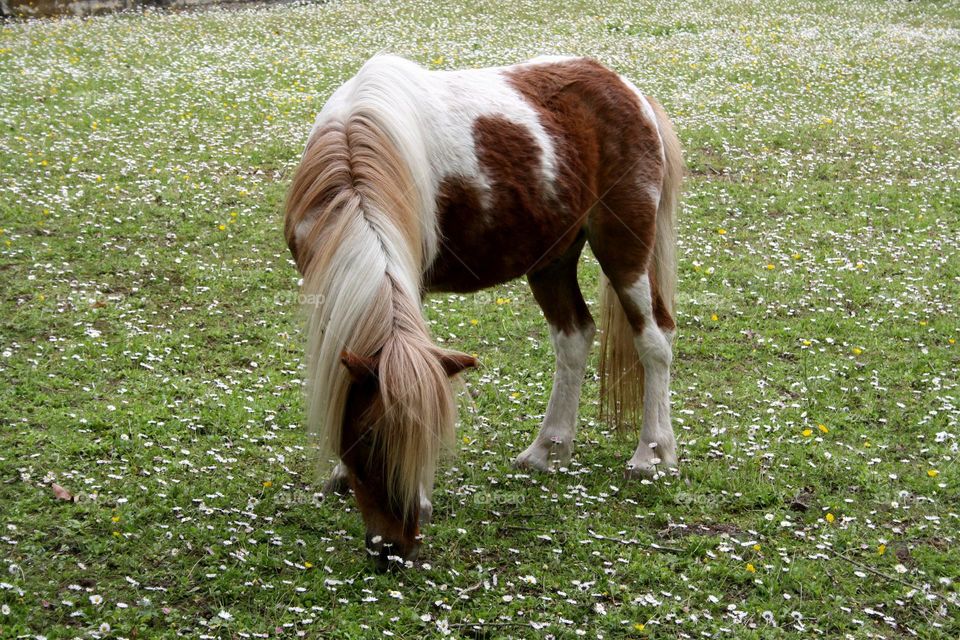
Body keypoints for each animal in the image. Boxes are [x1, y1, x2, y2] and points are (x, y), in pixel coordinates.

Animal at [284, 54, 682, 570]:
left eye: (432, 438)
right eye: (366, 439)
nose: (395, 548)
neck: (355, 156)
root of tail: (627, 90)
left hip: (624, 246)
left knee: (654, 340)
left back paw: (651, 454)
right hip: (551, 258)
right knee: (574, 336)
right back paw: (547, 450)